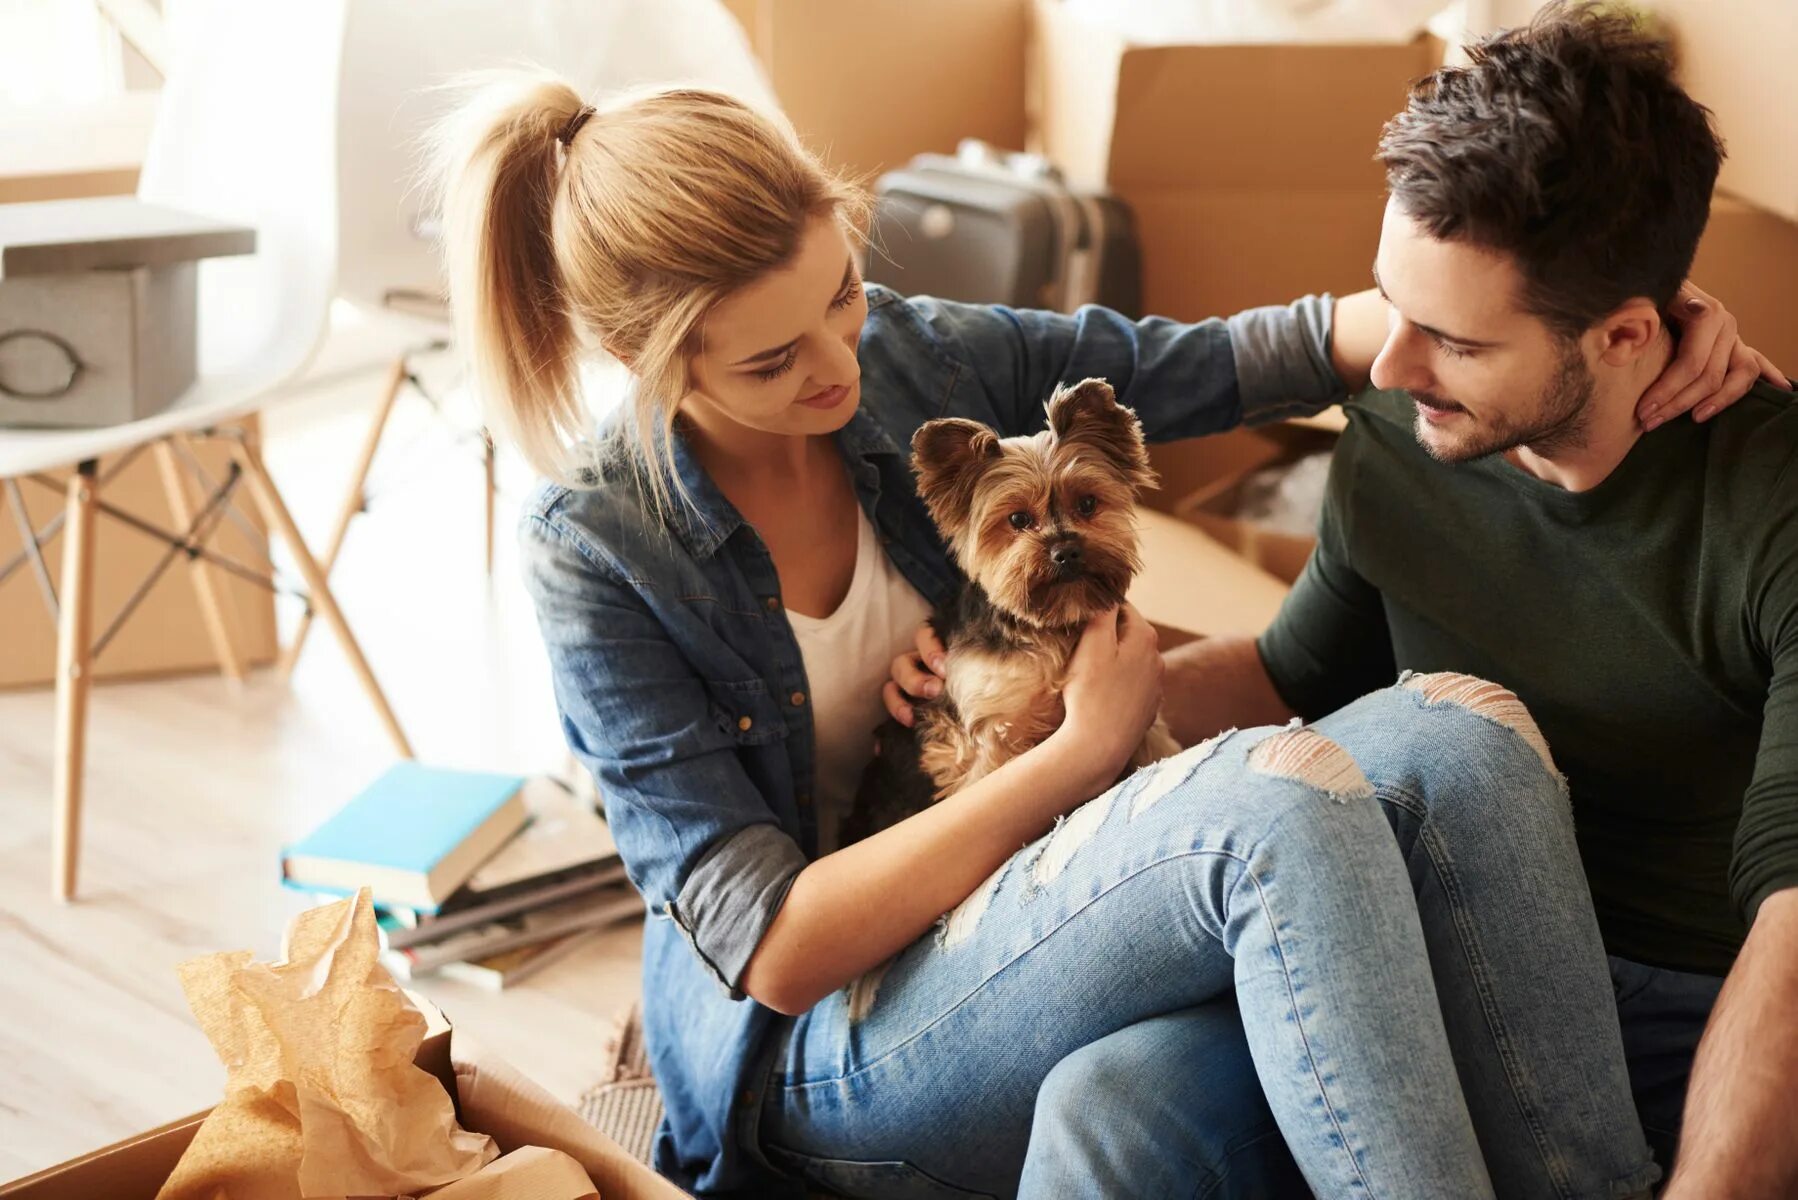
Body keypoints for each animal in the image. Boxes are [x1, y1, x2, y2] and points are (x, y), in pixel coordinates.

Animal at [845, 379, 1179, 841]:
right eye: (1019, 519)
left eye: (1088, 504)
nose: (1066, 550)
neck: (1051, 625)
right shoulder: (991, 732)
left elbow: (1158, 744)